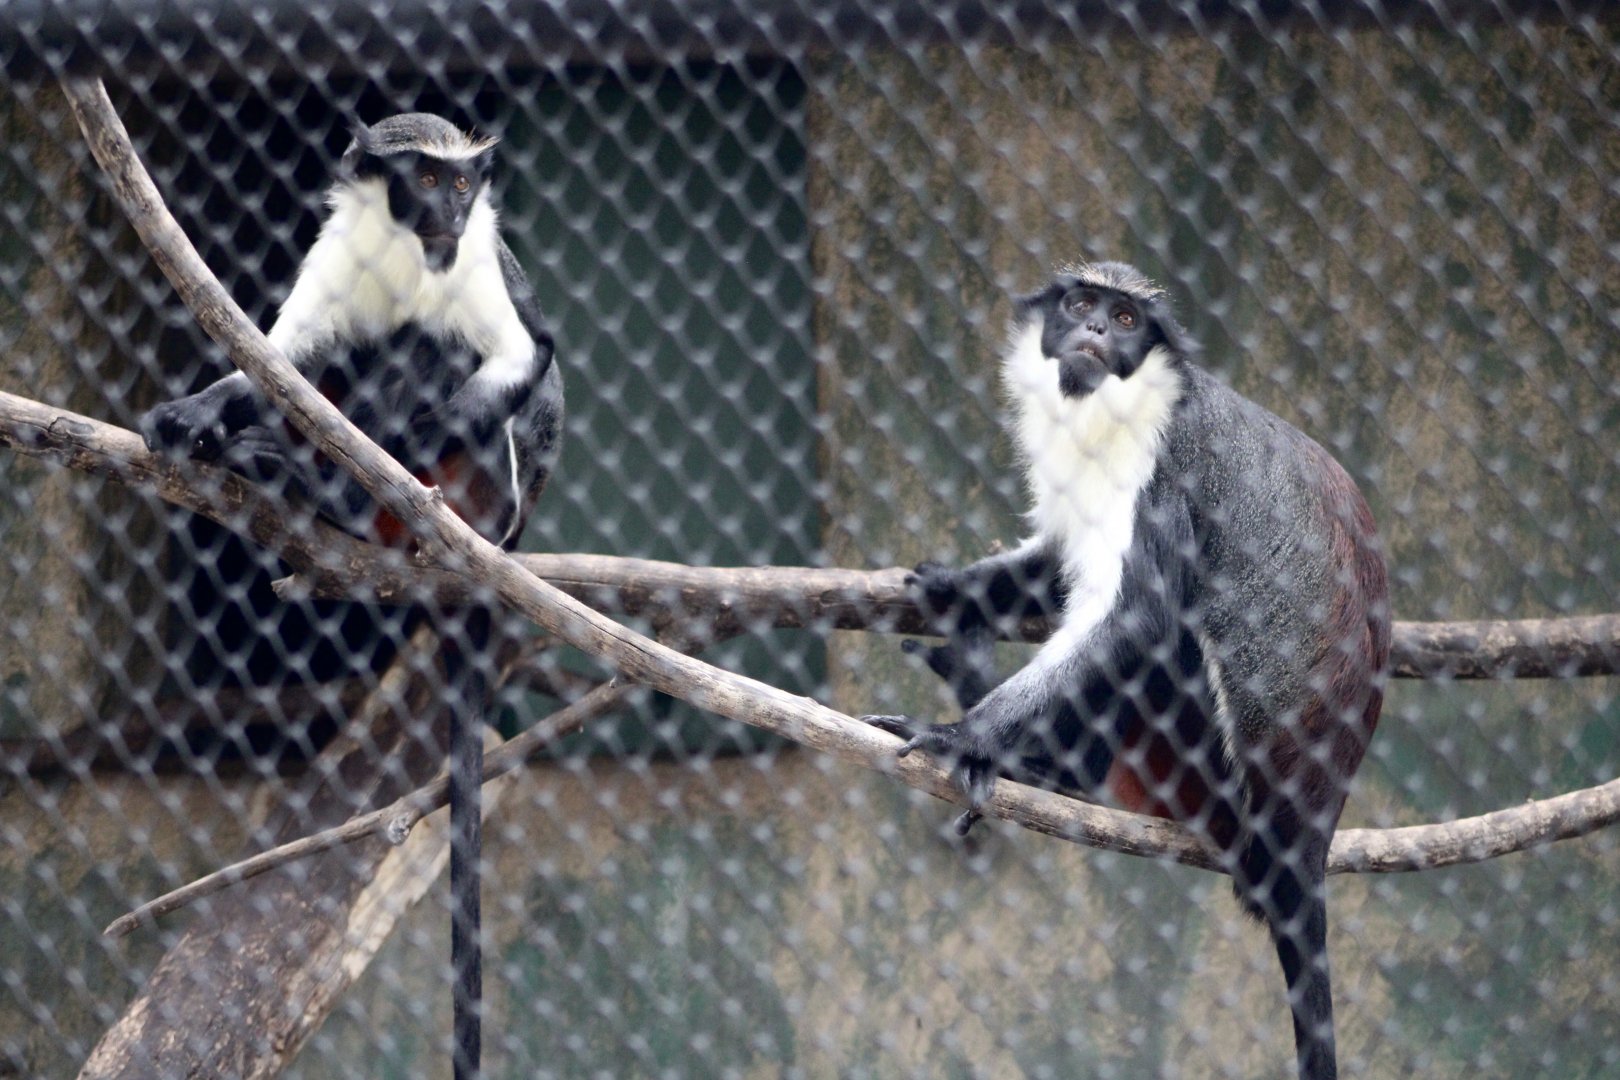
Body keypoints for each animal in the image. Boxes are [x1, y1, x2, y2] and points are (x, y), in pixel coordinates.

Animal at [141, 113, 562, 1080]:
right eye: (424, 181)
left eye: (462, 185)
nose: (451, 211)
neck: (412, 248)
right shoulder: (338, 248)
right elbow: (283, 362)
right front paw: (200, 414)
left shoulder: (477, 261)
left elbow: (524, 353)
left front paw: (405, 432)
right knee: (351, 352)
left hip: (487, 497)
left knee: (427, 346)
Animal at [863, 261, 1388, 1080]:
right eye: (1081, 303)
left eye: (1126, 319)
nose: (1095, 330)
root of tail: (1304, 845)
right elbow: (1057, 562)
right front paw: (950, 593)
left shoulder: (1160, 471)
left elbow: (1139, 618)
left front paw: (964, 736)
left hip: (1201, 770)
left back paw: (1046, 768)